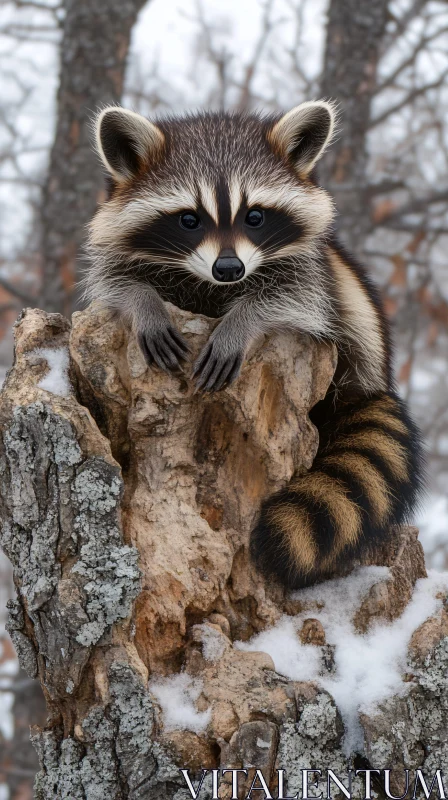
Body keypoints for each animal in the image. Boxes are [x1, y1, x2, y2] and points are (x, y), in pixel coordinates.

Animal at [85, 101, 424, 588]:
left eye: (255, 216)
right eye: (189, 219)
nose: (230, 269)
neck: (211, 286)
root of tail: (373, 383)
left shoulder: (312, 270)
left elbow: (292, 296)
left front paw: (242, 321)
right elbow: (115, 282)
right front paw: (143, 302)